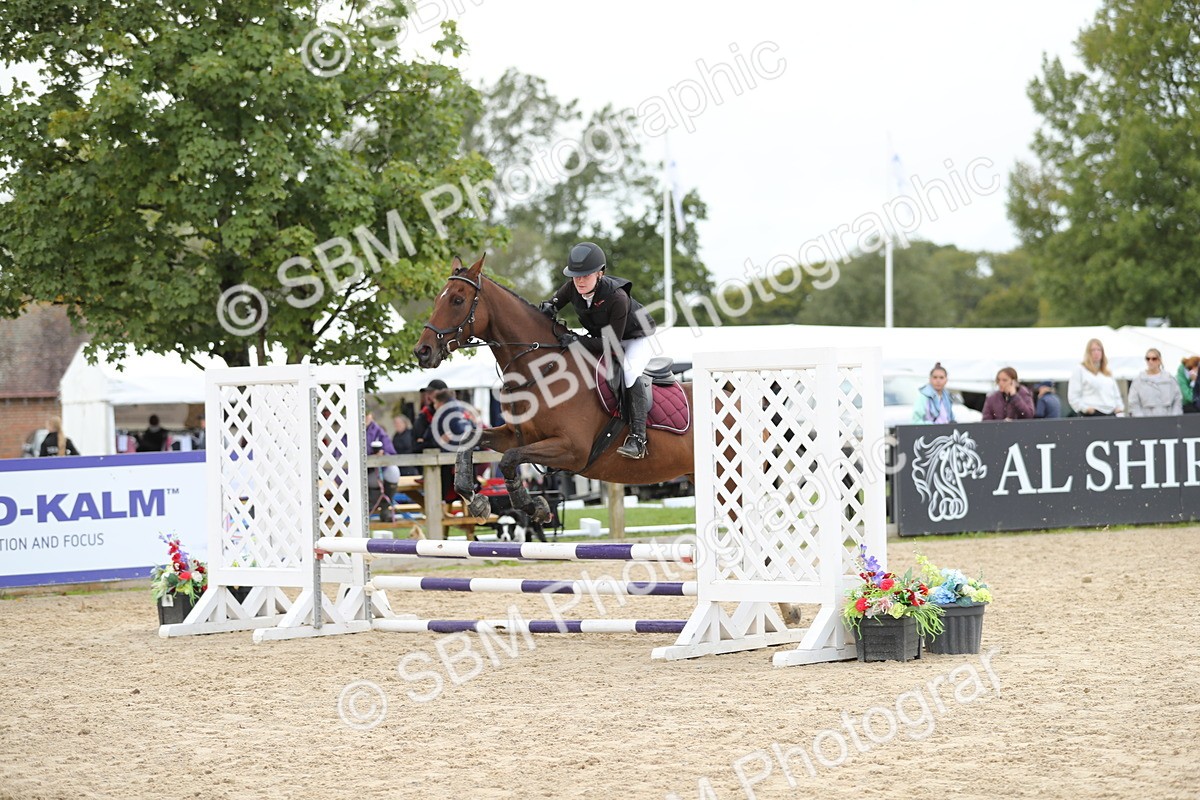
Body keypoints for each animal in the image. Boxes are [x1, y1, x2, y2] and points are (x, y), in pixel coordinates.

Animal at [412, 255, 695, 524]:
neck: (541, 371)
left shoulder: (572, 450)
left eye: (458, 300)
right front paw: (476, 500)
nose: (422, 351)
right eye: (438, 299)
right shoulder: (518, 436)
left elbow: (509, 459)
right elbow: (471, 440)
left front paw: (532, 506)